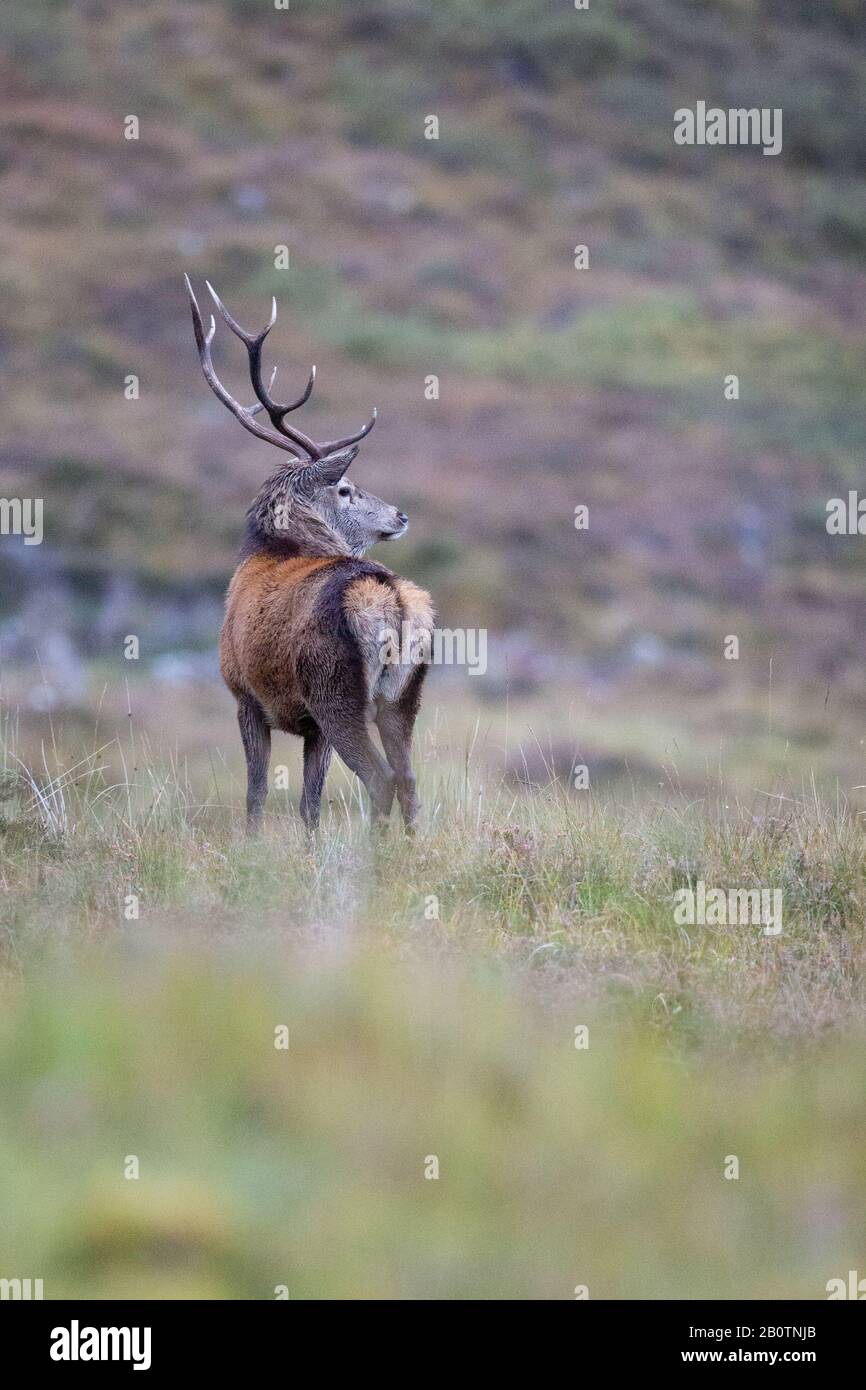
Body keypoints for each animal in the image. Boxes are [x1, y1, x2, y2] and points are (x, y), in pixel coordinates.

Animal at [184, 276, 434, 832]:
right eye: (345, 489)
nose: (402, 515)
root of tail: (391, 596)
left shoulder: (245, 696)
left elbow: (257, 793)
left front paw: (252, 845)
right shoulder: (308, 726)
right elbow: (309, 804)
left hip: (335, 690)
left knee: (381, 778)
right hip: (402, 696)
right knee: (408, 779)